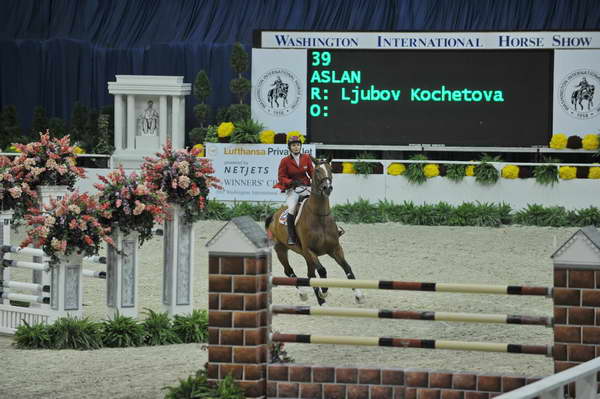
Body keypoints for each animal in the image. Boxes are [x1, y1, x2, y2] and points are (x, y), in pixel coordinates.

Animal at [264, 157, 364, 306]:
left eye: (330, 169)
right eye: (317, 170)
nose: (327, 188)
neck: (319, 217)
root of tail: (274, 215)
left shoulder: (335, 248)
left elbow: (347, 268)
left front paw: (358, 295)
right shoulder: (310, 251)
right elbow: (322, 271)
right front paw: (324, 291)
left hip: (304, 255)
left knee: (309, 275)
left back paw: (321, 302)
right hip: (281, 249)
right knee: (290, 271)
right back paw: (307, 296)